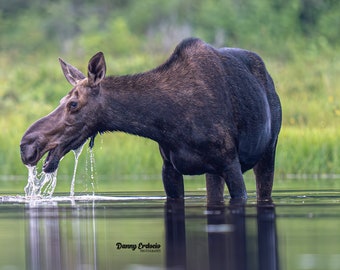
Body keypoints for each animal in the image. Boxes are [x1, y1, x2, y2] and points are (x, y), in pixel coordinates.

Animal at [20, 38, 282, 202]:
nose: (26, 144)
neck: (167, 123)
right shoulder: (170, 169)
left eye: (73, 104)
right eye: (61, 100)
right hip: (213, 173)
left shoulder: (230, 163)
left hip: (269, 149)